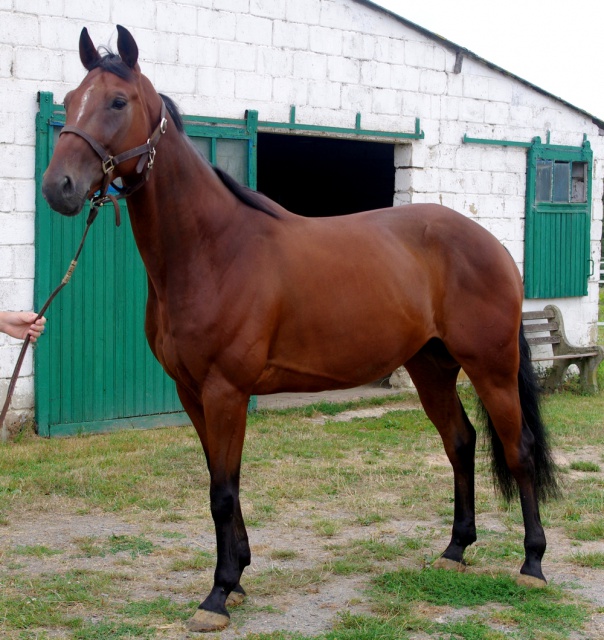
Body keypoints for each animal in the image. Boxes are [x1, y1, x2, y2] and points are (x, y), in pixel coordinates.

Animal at [42, 26, 560, 636]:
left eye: (118, 102)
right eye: (70, 99)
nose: (59, 187)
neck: (211, 249)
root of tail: (492, 245)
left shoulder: (225, 391)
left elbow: (223, 492)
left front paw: (217, 594)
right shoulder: (192, 393)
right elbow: (221, 481)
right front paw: (238, 576)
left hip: (491, 367)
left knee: (518, 449)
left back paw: (532, 564)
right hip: (430, 366)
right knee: (460, 443)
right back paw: (455, 550)